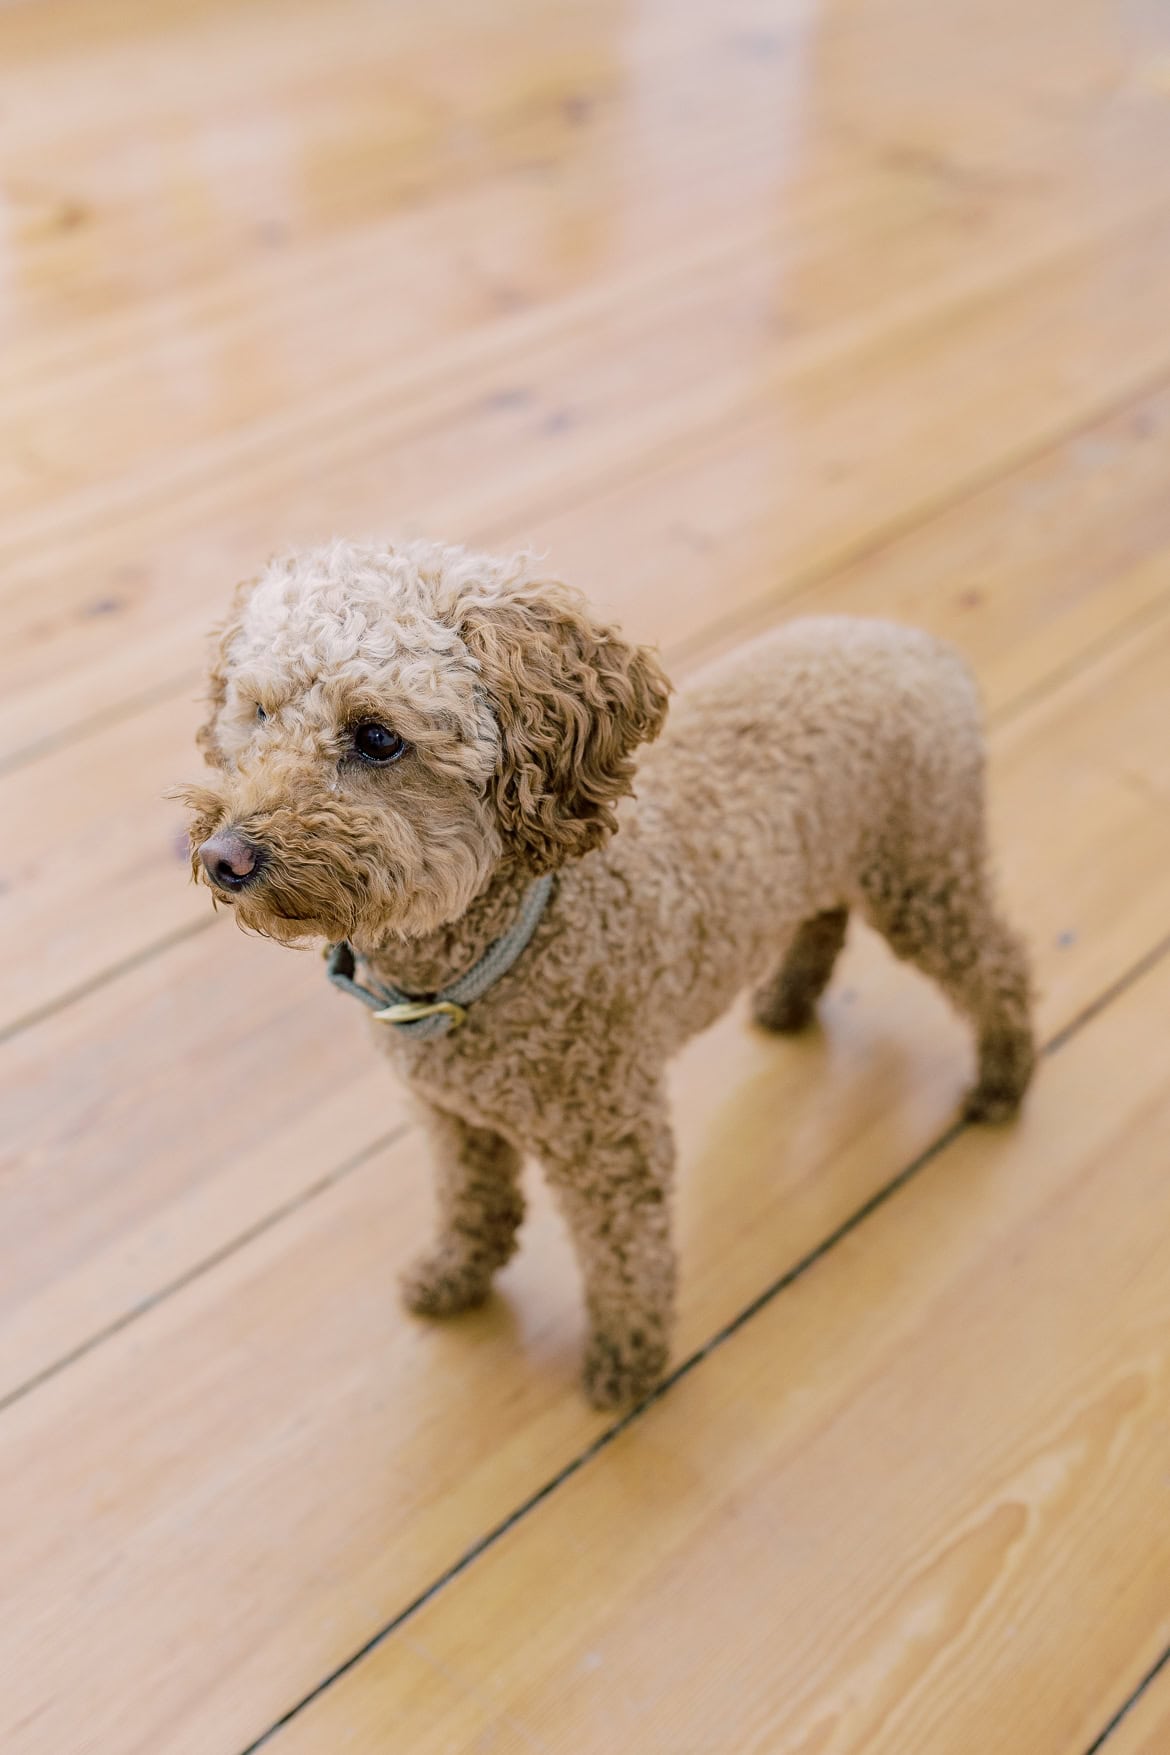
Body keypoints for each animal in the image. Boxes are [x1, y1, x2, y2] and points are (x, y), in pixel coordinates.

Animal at [180, 540, 1031, 1404]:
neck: (509, 938)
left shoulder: (611, 1140)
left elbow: (625, 1256)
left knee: (999, 964)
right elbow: (471, 1202)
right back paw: (788, 999)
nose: (224, 857)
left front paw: (628, 1363)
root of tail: (923, 647)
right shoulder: (452, 1118)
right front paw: (455, 1275)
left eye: (379, 737)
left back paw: (1003, 1080)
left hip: (924, 875)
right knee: (824, 919)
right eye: (257, 711)